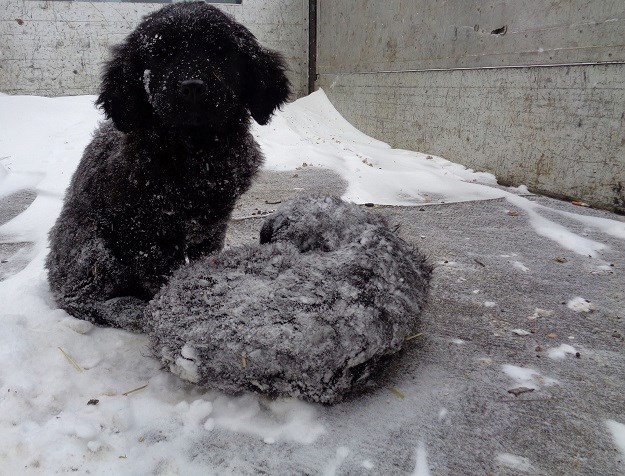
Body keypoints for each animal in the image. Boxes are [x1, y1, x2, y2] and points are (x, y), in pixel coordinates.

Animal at [46, 2, 290, 330]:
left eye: (220, 50)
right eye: (161, 54)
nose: (193, 87)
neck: (195, 151)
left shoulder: (212, 222)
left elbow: (202, 255)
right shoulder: (146, 231)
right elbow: (161, 275)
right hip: (96, 250)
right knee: (85, 301)